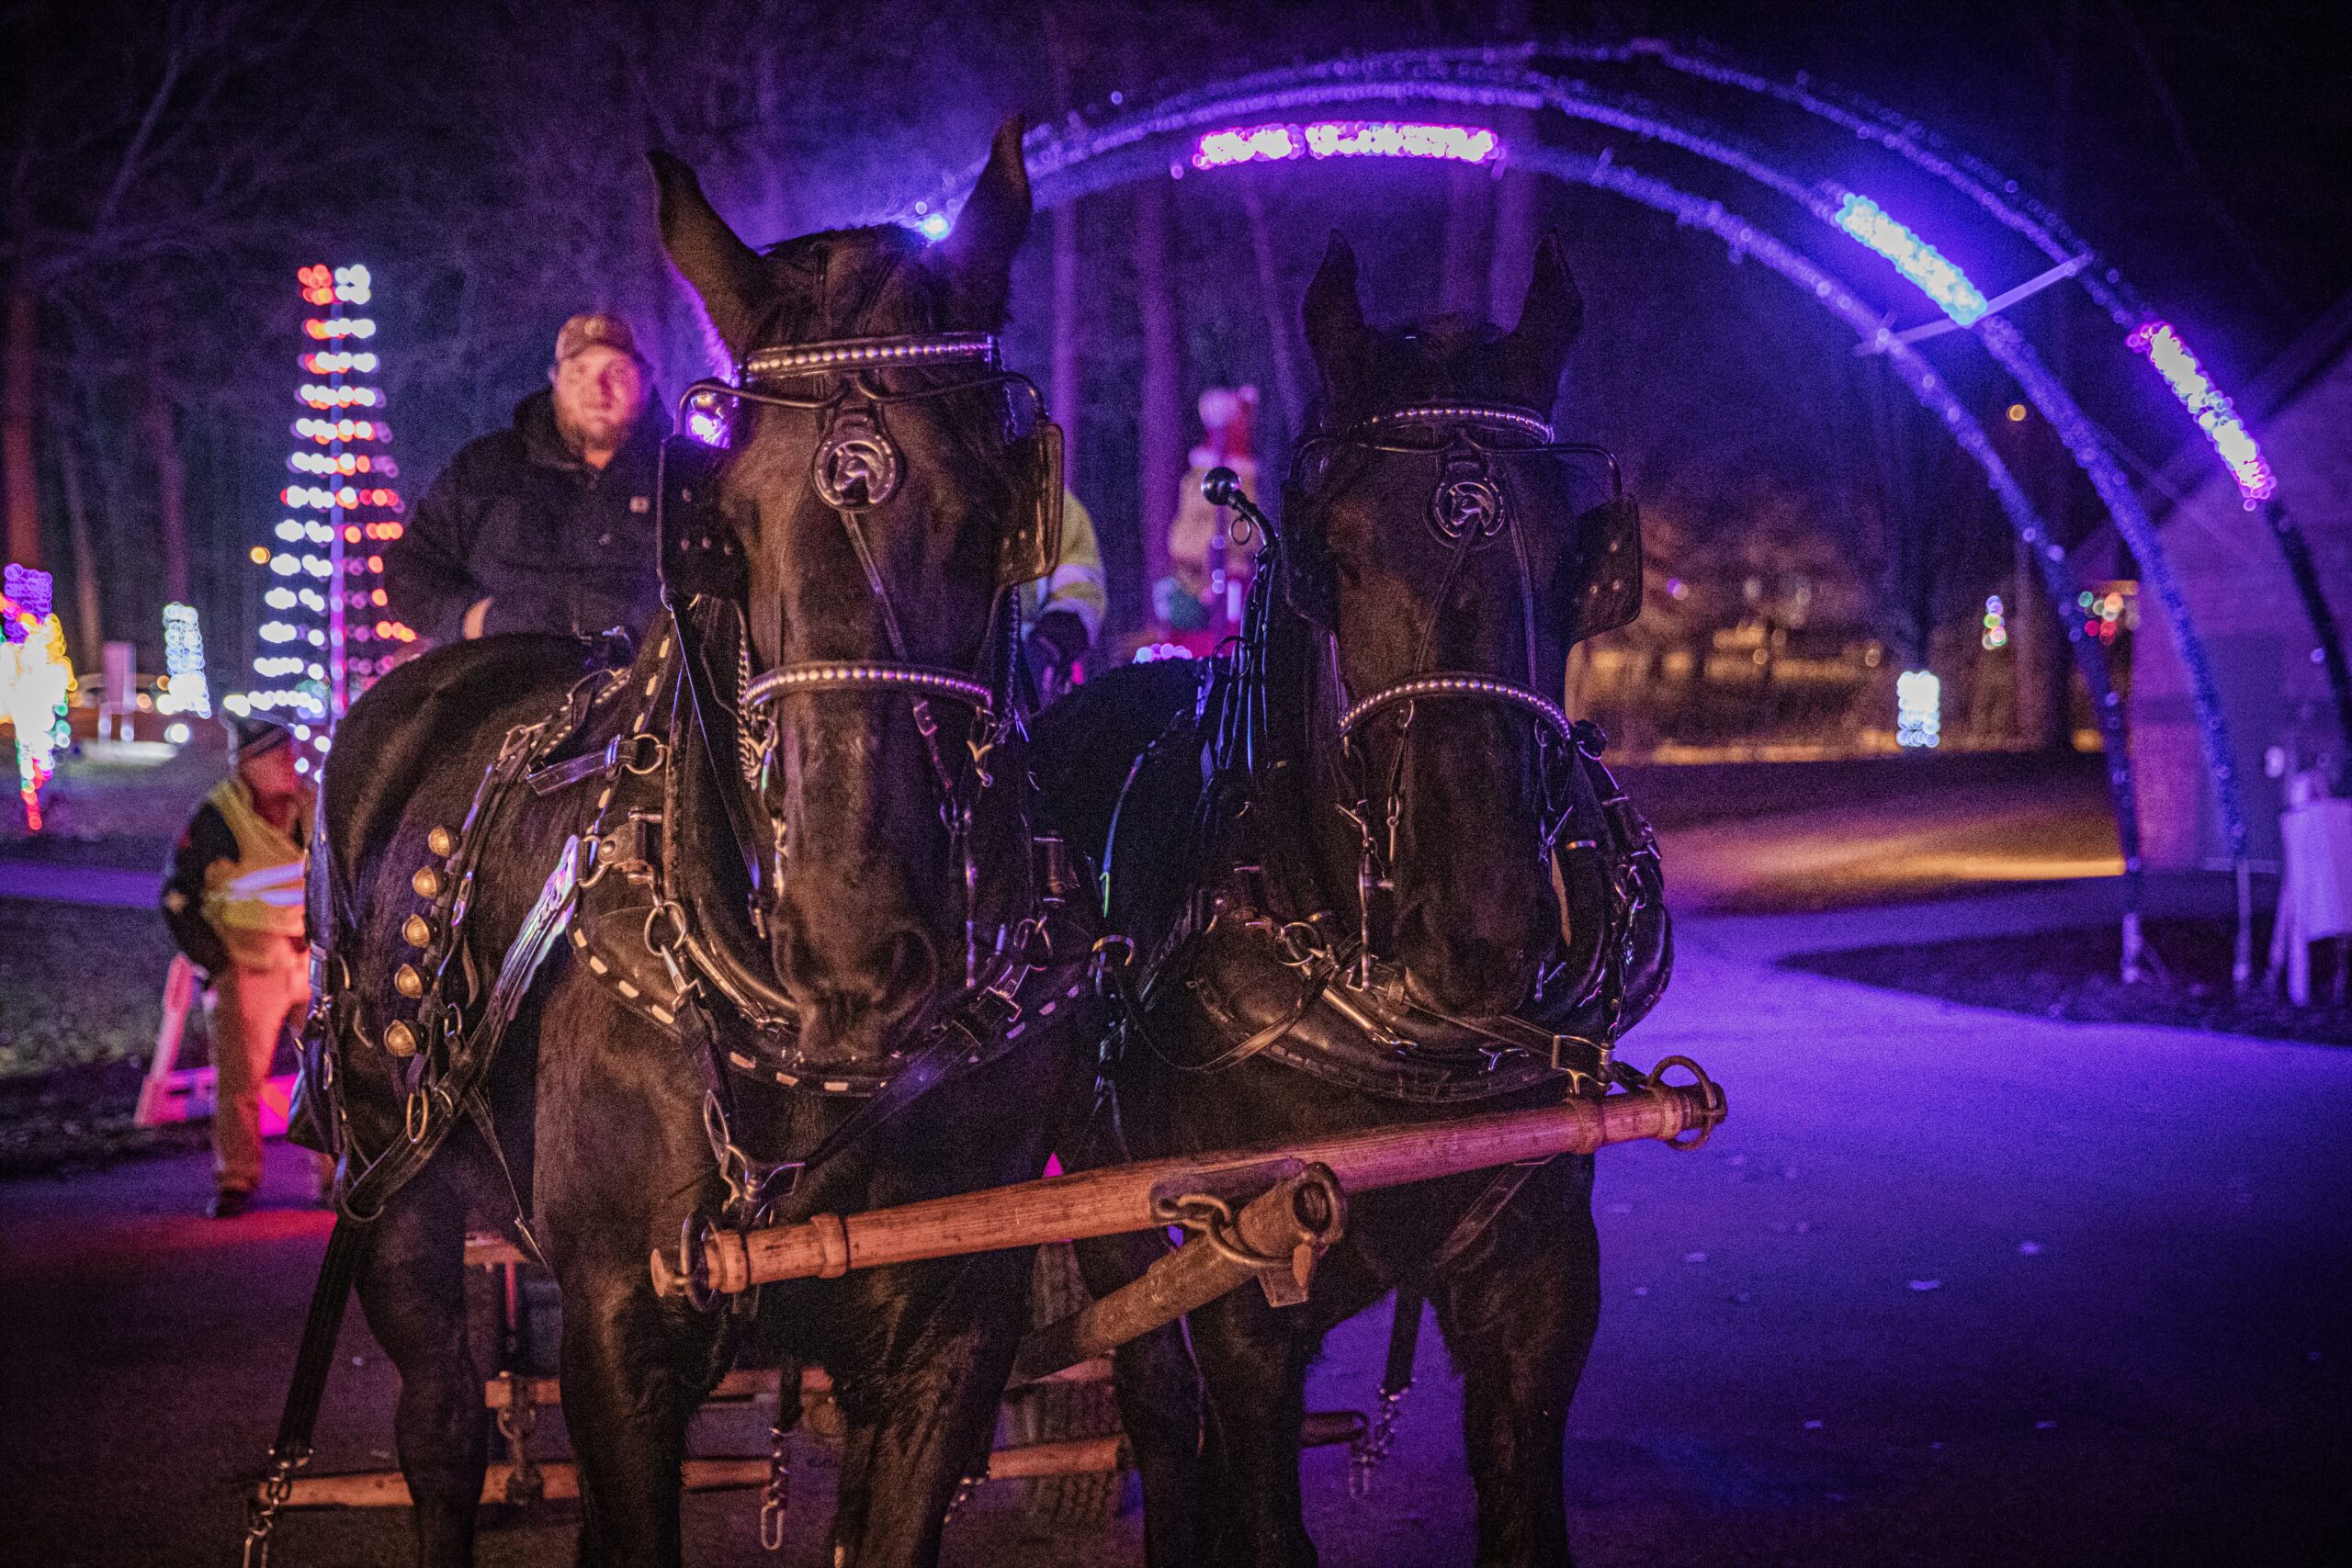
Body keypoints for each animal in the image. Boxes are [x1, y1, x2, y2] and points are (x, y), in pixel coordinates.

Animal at [299, 125, 1095, 1568]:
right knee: (440, 1431)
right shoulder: (621, 1333)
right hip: (394, 1202)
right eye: (727, 524)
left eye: (993, 510)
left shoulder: (952, 1333)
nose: (854, 953)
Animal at [1035, 236, 1674, 1568]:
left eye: (1578, 558)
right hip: (1107, 1214)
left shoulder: (1542, 1282)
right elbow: (1251, 1492)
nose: (1483, 926)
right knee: (1160, 1413)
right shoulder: (1241, 1296)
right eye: (1336, 552)